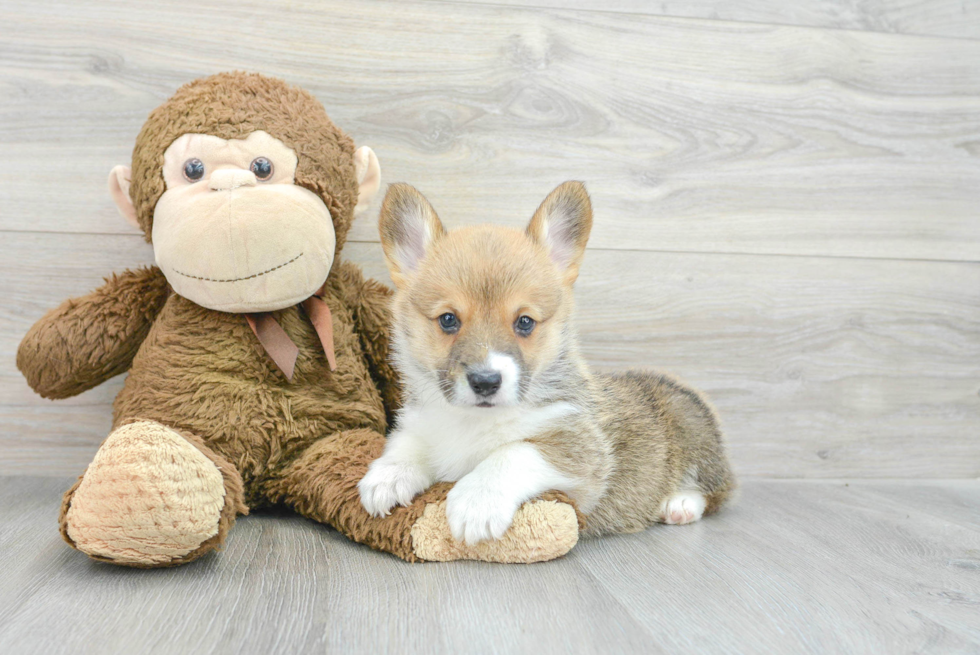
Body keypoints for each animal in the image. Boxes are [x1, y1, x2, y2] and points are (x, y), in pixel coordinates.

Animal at [360, 182, 736, 544]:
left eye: (525, 322)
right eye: (448, 320)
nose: (486, 382)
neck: (474, 422)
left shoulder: (580, 449)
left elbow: (514, 452)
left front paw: (477, 501)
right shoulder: (421, 426)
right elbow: (406, 445)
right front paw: (386, 476)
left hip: (694, 435)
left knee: (719, 491)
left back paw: (680, 503)